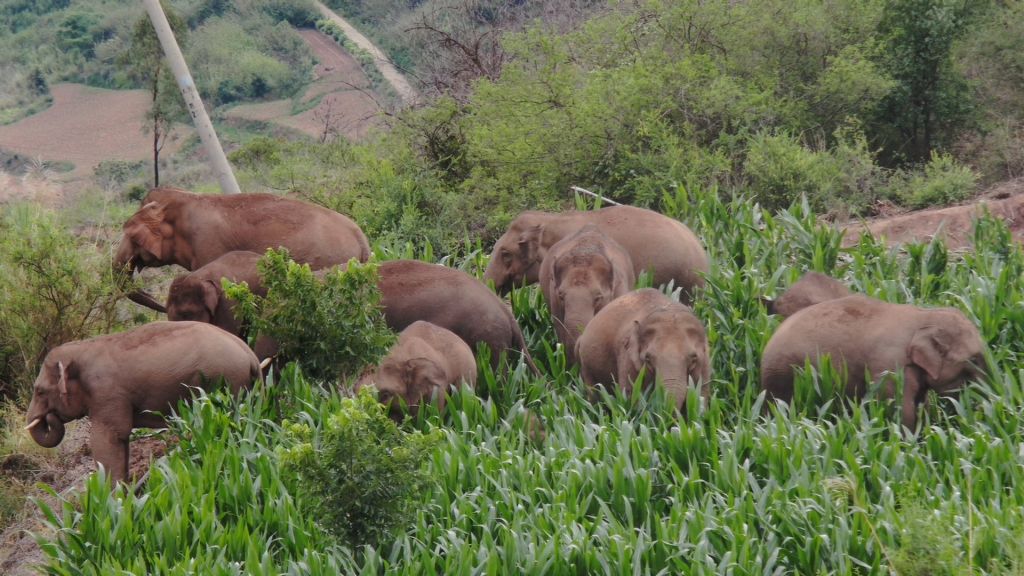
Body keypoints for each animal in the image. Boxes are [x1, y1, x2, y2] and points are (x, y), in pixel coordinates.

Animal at [25, 321, 261, 482]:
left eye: (39, 391)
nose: (49, 417)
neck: (84, 347)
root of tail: (251, 356)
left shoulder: (107, 394)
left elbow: (108, 440)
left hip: (226, 383)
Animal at [575, 288, 712, 411]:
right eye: (648, 358)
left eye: (693, 358)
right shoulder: (627, 357)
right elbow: (631, 396)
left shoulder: (705, 364)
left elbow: (700, 397)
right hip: (587, 366)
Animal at [760, 294, 988, 429]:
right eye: (973, 360)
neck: (924, 317)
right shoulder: (890, 366)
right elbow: (899, 406)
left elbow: (920, 403)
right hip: (784, 373)